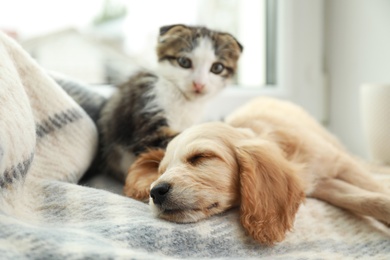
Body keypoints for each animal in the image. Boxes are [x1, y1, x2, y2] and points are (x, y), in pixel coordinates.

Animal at [146, 96, 390, 245]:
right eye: (162, 170)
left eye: (201, 157)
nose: (155, 192)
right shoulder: (323, 185)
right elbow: (364, 200)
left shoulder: (341, 165)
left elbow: (376, 191)